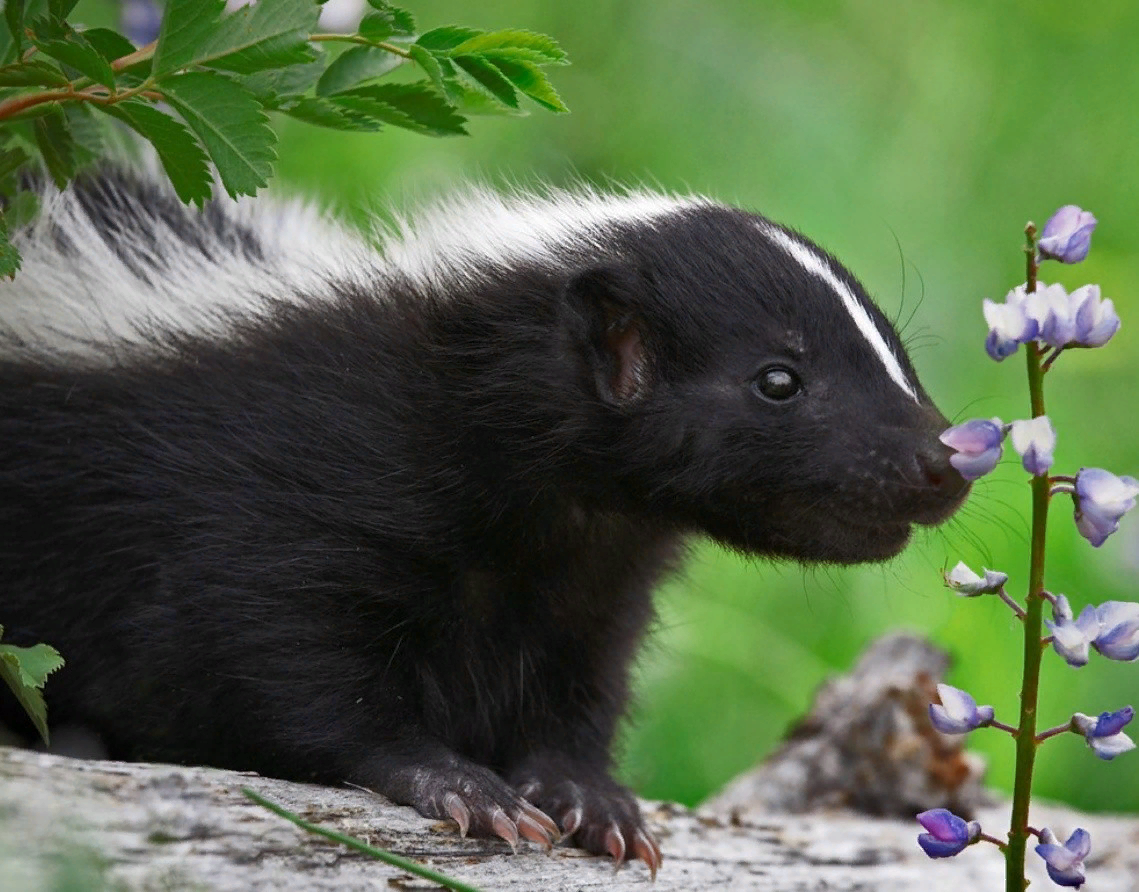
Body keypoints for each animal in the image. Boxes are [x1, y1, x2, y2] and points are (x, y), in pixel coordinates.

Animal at [0, 169, 970, 879]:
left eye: (893, 349)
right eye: (777, 381)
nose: (944, 459)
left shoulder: (590, 577)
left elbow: (577, 686)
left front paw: (592, 798)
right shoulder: (283, 484)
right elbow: (277, 652)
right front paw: (456, 783)